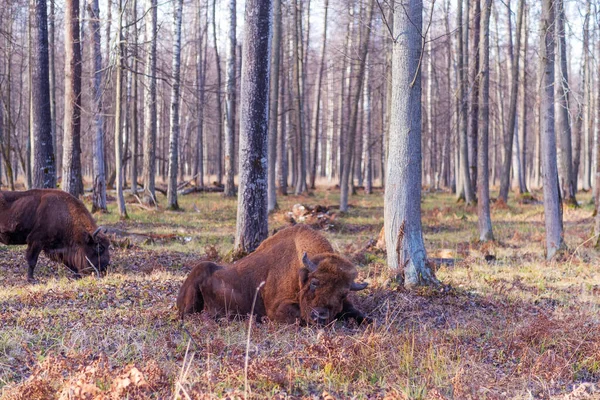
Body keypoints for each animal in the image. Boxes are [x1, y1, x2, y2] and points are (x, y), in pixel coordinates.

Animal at [176, 225, 368, 324]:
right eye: (314, 283)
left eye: (343, 294)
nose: (320, 316)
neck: (300, 273)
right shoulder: (277, 309)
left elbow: (359, 313)